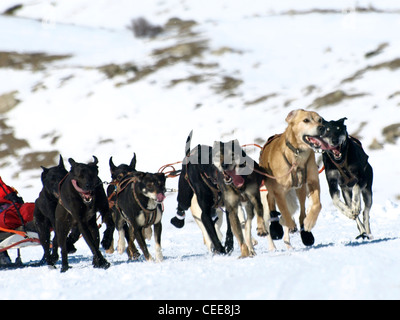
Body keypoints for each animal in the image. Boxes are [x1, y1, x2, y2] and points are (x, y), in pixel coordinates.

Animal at [260, 109, 328, 248]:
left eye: (320, 120)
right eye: (306, 120)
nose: (322, 127)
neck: (297, 154)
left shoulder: (312, 182)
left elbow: (317, 205)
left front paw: (309, 222)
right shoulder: (278, 191)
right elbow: (284, 211)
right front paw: (289, 225)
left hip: (299, 190)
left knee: (301, 210)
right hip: (270, 189)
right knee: (272, 205)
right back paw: (276, 229)